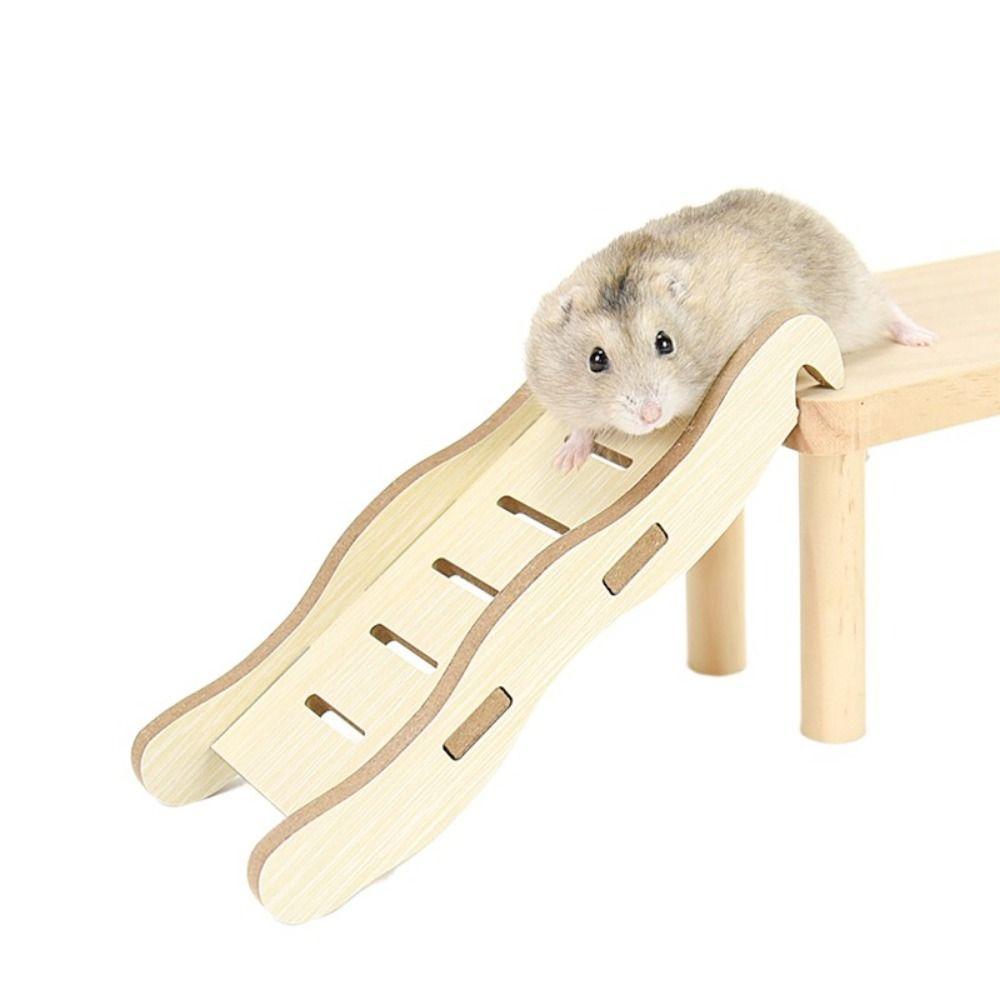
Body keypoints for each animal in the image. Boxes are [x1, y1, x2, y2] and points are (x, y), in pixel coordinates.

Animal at [525, 189, 936, 471]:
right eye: (596, 360)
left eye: (665, 342)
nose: (650, 415)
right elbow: (580, 426)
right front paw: (564, 463)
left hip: (857, 298)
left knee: (889, 309)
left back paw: (924, 339)